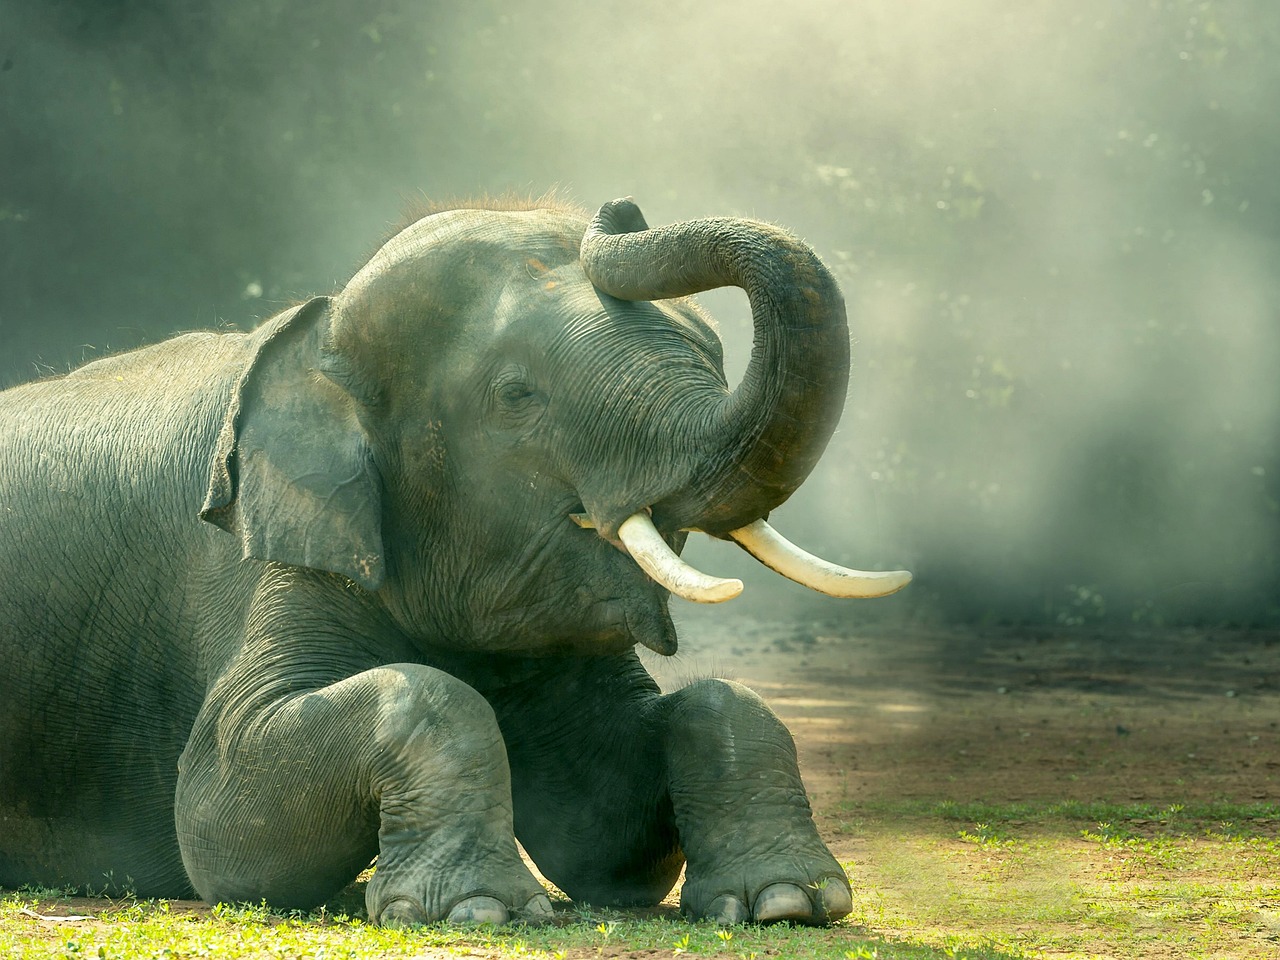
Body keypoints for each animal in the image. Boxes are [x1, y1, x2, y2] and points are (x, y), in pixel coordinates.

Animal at [0, 196, 910, 926]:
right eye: (517, 395)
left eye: (714, 357)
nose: (617, 211)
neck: (317, 332)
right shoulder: (282, 552)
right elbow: (221, 815)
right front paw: (477, 910)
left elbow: (609, 828)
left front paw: (788, 903)